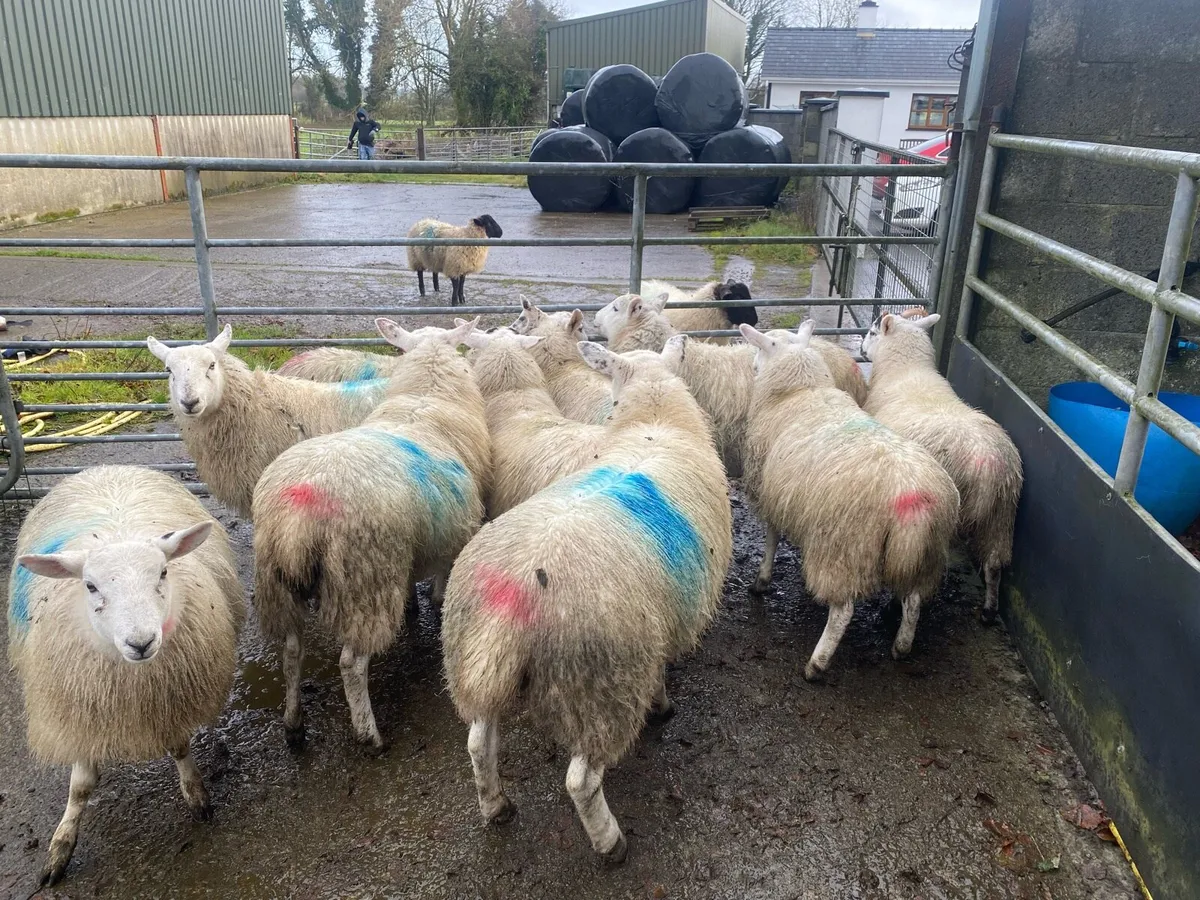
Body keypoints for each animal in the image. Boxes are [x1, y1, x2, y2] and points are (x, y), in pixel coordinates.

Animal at [9, 465, 243, 886]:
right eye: (90, 585)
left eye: (163, 572)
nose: (141, 642)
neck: (134, 684)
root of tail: (104, 469)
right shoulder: (81, 710)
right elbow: (81, 787)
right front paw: (61, 846)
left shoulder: (171, 699)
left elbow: (179, 749)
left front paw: (196, 795)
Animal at [251, 318, 489, 752]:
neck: (424, 396)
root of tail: (297, 517)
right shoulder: (450, 536)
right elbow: (441, 579)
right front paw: (435, 604)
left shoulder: (414, 544)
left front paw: (412, 606)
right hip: (365, 578)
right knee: (350, 663)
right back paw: (369, 734)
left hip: (276, 582)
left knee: (291, 652)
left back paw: (294, 724)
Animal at [740, 320, 960, 680]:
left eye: (761, 348)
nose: (753, 367)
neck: (801, 391)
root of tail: (912, 495)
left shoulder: (770, 493)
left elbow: (771, 539)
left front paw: (761, 581)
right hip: (926, 553)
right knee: (914, 600)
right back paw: (901, 646)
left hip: (845, 548)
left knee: (843, 611)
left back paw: (817, 664)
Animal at [861, 311, 1023, 622]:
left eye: (873, 333)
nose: (862, 350)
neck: (905, 372)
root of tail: (986, 466)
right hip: (1003, 513)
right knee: (995, 563)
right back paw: (989, 611)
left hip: (941, 523)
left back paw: (892, 608)